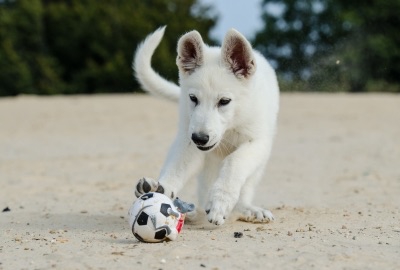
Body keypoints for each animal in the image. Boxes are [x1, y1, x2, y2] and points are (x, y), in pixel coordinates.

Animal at [133, 26, 280, 226]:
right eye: (193, 98)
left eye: (224, 101)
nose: (200, 138)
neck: (231, 125)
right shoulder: (189, 142)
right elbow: (176, 169)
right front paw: (161, 190)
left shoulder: (257, 142)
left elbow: (234, 162)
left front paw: (221, 201)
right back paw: (191, 212)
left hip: (257, 166)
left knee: (244, 188)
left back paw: (246, 209)